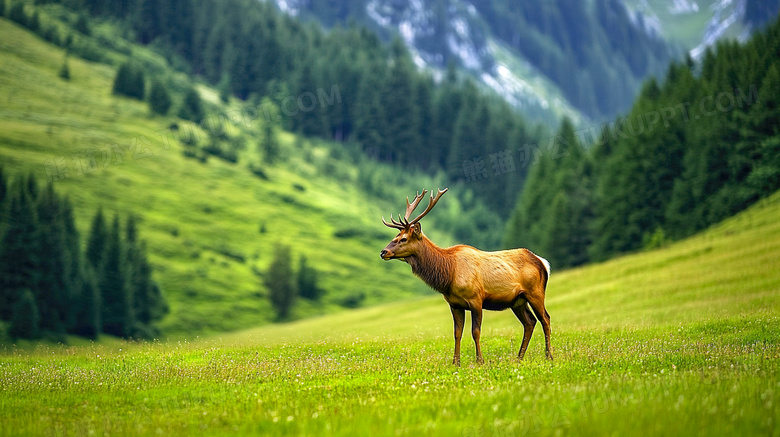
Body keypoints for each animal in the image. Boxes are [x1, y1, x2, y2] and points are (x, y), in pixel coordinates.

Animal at [380, 189, 552, 362]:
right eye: (394, 237)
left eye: (403, 239)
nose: (383, 252)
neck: (449, 274)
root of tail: (542, 262)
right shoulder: (454, 304)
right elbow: (457, 333)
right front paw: (456, 362)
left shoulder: (476, 298)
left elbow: (475, 332)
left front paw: (480, 361)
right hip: (517, 300)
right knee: (530, 322)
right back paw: (519, 358)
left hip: (535, 292)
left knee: (545, 319)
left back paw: (549, 356)